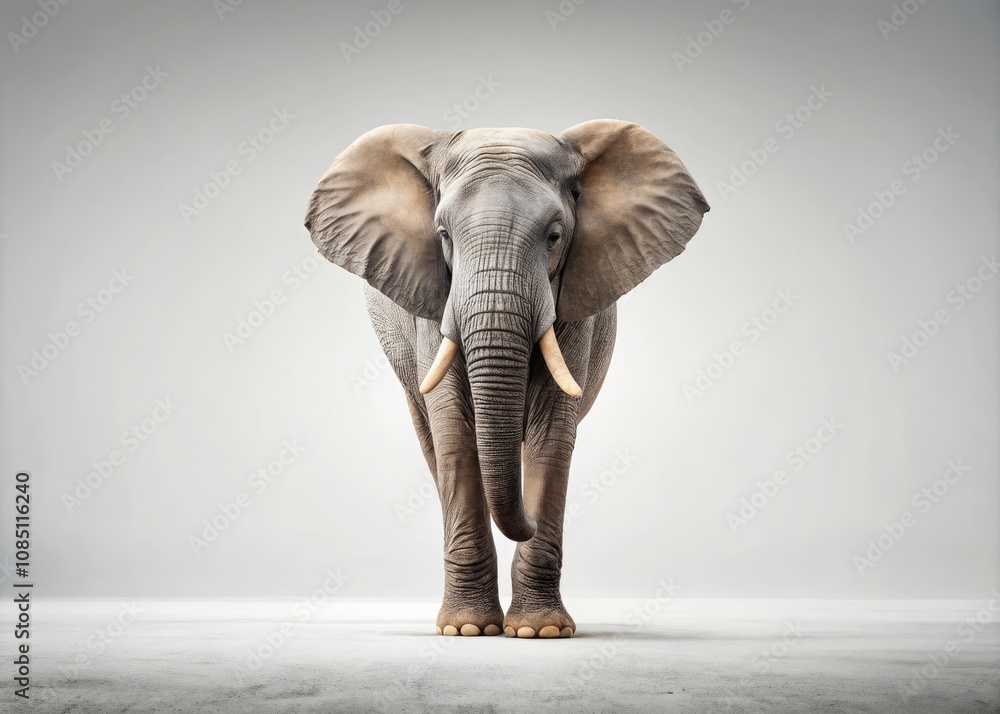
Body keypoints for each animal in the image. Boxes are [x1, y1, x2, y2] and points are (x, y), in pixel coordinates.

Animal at [305, 120, 709, 638]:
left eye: (555, 236)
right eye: (443, 236)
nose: (530, 520)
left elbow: (551, 436)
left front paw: (541, 632)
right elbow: (454, 433)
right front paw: (467, 630)